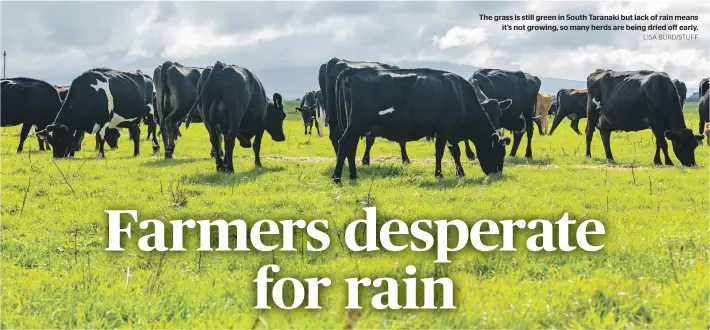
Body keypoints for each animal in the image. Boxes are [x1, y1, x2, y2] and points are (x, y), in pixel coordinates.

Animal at [332, 65, 512, 182]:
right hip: (356, 125)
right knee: (344, 144)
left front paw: (460, 173)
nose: (497, 173)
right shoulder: (444, 129)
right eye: (498, 152)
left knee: (350, 148)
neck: (460, 96)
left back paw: (353, 176)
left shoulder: (451, 132)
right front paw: (439, 174)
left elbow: (455, 152)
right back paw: (337, 178)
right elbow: (440, 152)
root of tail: (352, 72)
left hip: (354, 127)